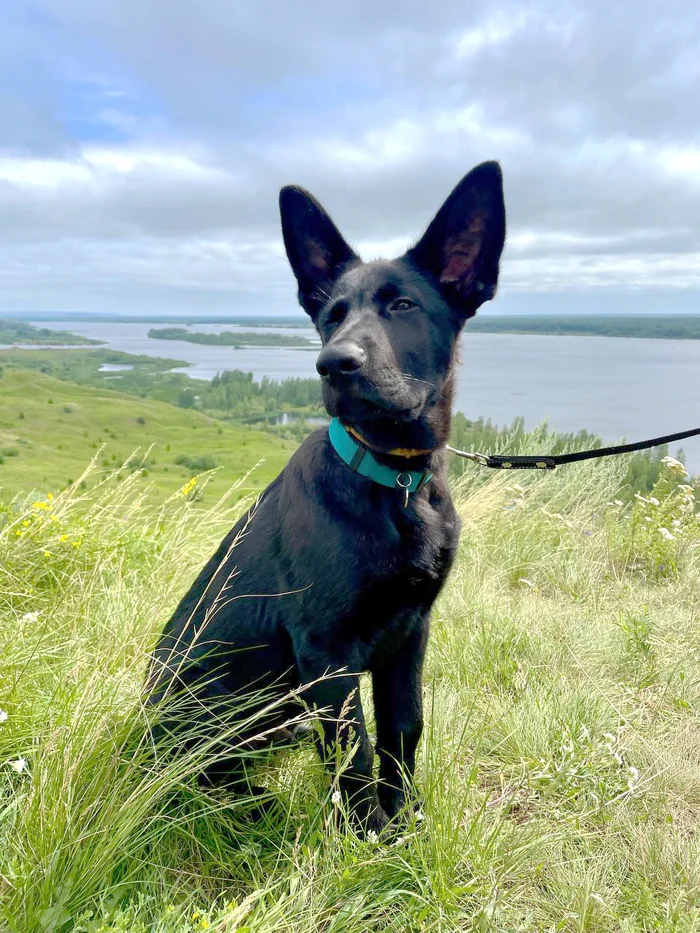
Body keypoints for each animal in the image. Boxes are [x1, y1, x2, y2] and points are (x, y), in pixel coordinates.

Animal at [148, 158, 506, 832]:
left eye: (402, 305)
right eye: (331, 315)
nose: (333, 363)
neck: (394, 484)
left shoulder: (410, 633)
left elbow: (403, 729)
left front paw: (406, 823)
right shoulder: (327, 655)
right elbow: (354, 755)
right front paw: (368, 836)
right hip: (217, 703)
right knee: (200, 777)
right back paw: (250, 807)